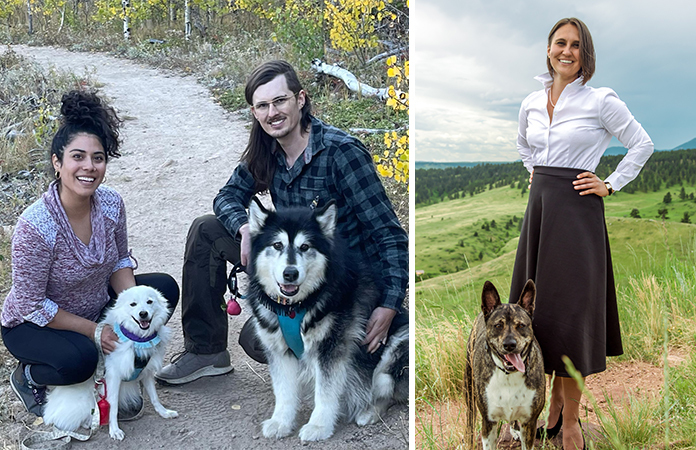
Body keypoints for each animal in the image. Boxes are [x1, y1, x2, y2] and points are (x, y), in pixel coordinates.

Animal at [43, 284, 178, 440]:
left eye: (149, 302)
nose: (143, 313)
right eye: (133, 304)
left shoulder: (147, 373)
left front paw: (164, 412)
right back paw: (89, 424)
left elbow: (154, 397)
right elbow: (112, 406)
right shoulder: (113, 378)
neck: (137, 338)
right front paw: (114, 430)